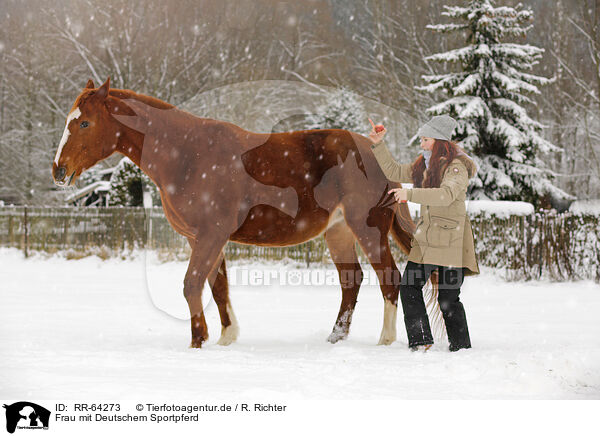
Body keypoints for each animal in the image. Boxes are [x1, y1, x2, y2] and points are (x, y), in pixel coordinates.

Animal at [51, 78, 420, 350]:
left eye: (84, 123)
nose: (58, 170)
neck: (186, 154)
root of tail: (378, 156)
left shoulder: (211, 235)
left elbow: (192, 284)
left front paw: (198, 340)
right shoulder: (201, 238)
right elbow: (218, 288)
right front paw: (226, 338)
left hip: (368, 228)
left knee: (389, 279)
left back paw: (385, 340)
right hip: (338, 232)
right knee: (351, 281)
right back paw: (335, 337)